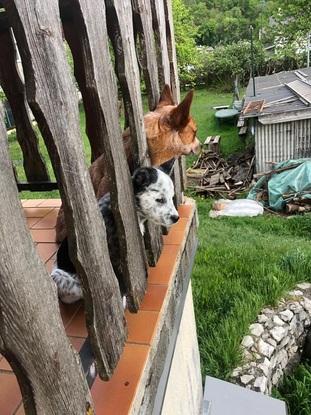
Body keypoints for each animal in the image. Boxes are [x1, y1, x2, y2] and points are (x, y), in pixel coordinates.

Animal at [52, 167, 179, 306]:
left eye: (172, 197)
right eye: (160, 200)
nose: (176, 218)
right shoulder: (112, 258)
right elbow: (118, 279)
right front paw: (122, 299)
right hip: (57, 276)